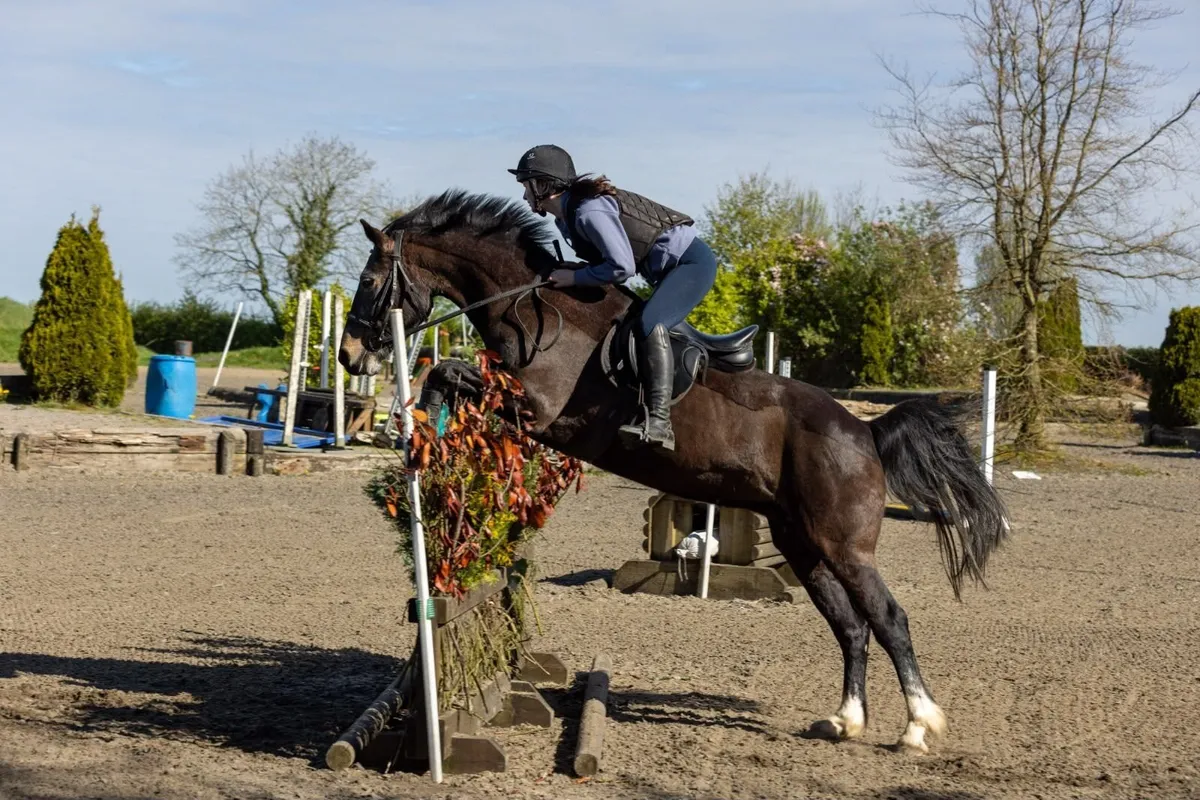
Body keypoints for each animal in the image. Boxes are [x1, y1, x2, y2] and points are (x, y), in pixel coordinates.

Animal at [338, 189, 1008, 754]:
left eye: (369, 279)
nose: (348, 356)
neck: (532, 305)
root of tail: (864, 431)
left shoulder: (541, 411)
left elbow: (444, 369)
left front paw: (413, 428)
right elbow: (443, 372)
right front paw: (414, 432)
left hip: (844, 544)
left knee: (888, 620)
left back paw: (918, 727)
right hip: (802, 543)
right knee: (850, 627)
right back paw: (844, 720)